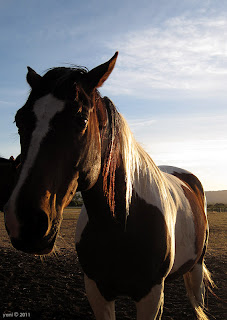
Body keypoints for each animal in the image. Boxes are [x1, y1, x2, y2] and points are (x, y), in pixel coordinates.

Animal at [3, 53, 213, 320]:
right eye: (19, 120)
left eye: (81, 119)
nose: (25, 222)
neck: (121, 223)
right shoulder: (97, 291)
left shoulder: (151, 295)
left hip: (196, 269)